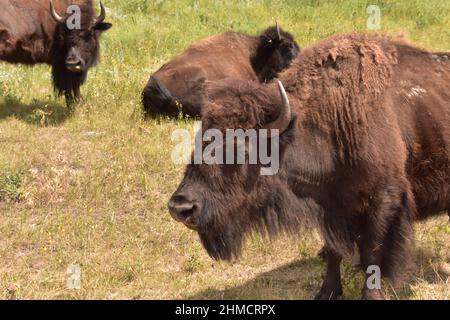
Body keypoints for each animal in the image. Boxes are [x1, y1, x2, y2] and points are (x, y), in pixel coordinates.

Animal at [170, 33, 450, 300]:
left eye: (241, 148)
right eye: (200, 139)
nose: (180, 207)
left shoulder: (383, 200)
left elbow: (373, 254)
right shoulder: (331, 206)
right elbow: (334, 250)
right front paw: (326, 291)